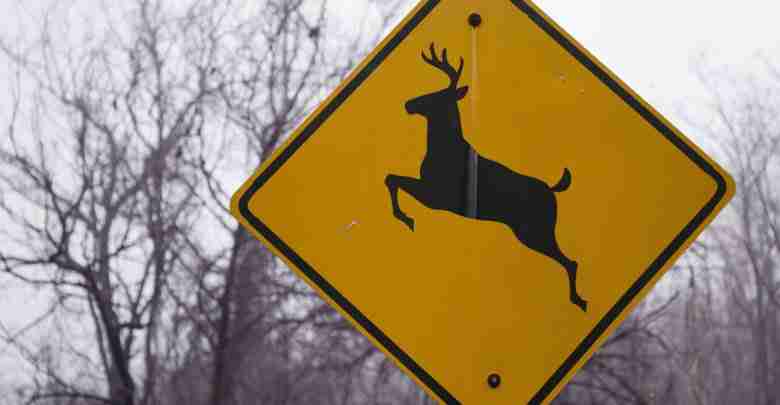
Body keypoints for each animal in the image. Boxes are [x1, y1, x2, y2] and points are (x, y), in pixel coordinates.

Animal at [384, 43, 587, 311]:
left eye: (437, 95)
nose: (409, 104)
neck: (443, 149)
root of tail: (553, 191)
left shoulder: (438, 197)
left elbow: (393, 179)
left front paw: (407, 219)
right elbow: (391, 178)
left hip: (535, 229)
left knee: (570, 261)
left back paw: (579, 301)